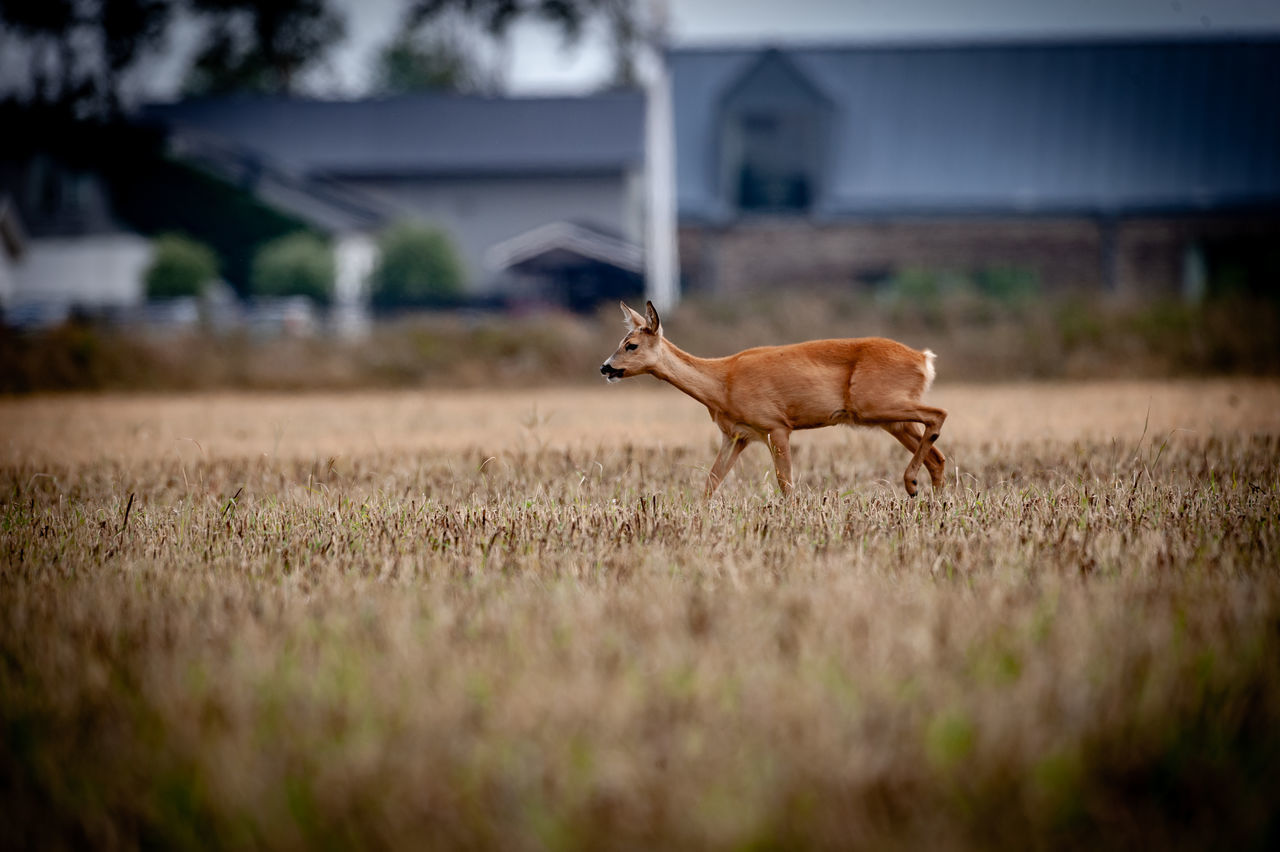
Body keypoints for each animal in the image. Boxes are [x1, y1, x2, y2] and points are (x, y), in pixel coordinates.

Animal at [593, 300, 947, 493]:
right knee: (938, 457)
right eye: (621, 341)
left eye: (631, 345)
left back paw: (910, 485)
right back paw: (931, 505)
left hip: (877, 404)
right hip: (889, 418)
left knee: (938, 415)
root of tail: (923, 359)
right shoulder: (737, 435)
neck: (721, 383)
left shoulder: (775, 425)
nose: (605, 367)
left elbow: (785, 482)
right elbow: (711, 482)